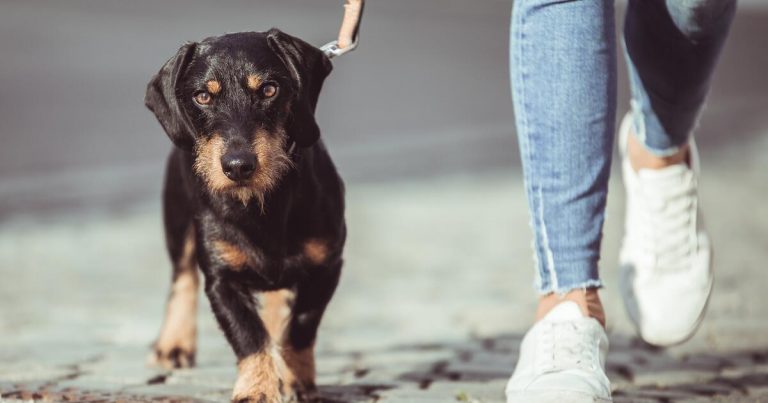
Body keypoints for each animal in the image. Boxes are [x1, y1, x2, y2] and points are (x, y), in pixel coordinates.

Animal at [145, 29, 348, 403]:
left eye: (269, 89)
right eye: (203, 96)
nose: (238, 166)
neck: (261, 204)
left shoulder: (327, 265)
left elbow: (300, 326)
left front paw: (297, 378)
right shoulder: (222, 280)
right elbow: (249, 336)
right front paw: (257, 388)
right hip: (177, 221)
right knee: (182, 278)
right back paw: (174, 344)